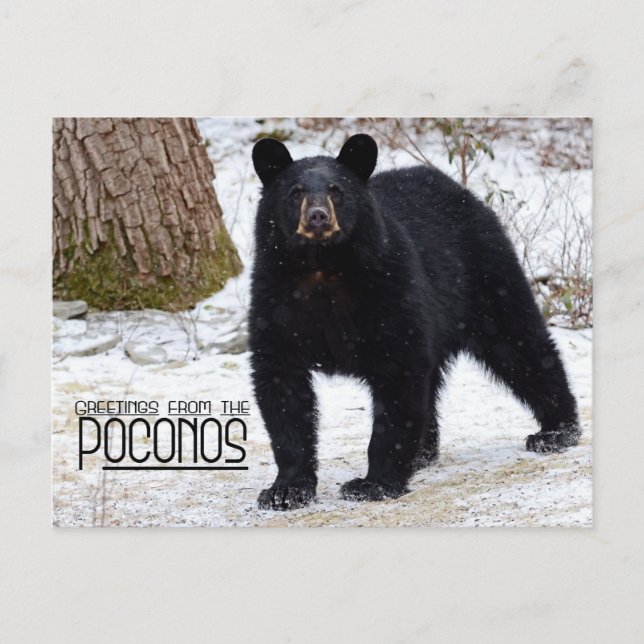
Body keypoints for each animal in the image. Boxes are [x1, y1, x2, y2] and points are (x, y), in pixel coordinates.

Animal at [249, 133, 580, 511]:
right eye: (295, 192)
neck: (323, 266)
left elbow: (398, 376)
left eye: (336, 190)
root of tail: (456, 187)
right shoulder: (274, 297)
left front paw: (372, 483)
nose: (318, 217)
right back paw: (423, 452)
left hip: (484, 275)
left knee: (520, 343)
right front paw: (285, 491)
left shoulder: (389, 287)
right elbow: (281, 383)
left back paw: (556, 431)